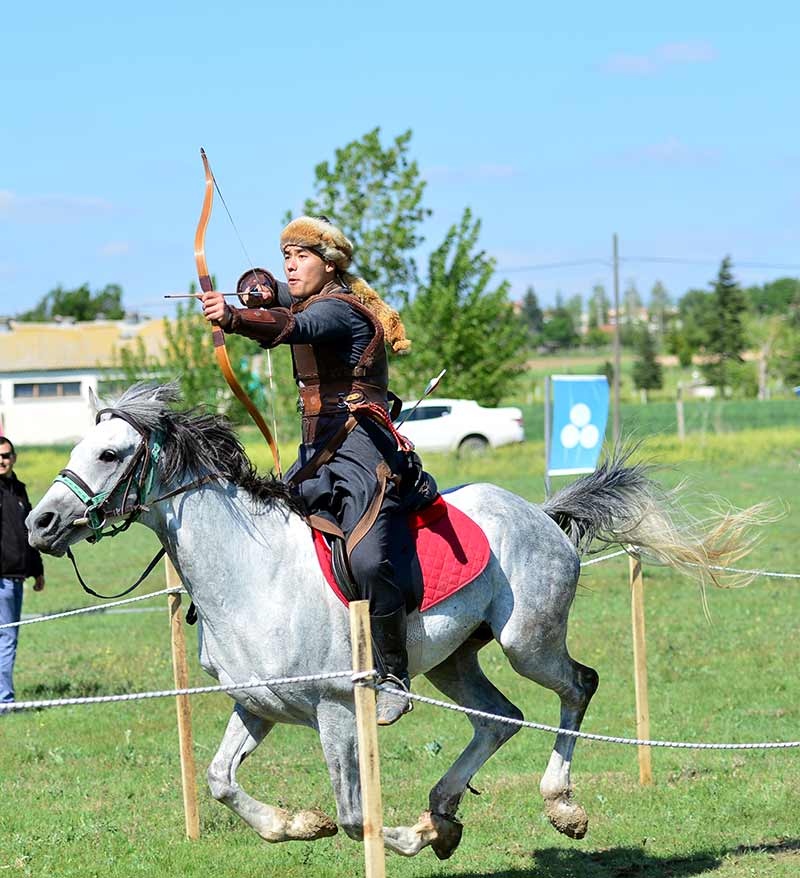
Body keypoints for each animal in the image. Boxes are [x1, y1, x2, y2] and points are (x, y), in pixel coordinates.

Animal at [26, 388, 764, 864]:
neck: (252, 573)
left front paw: (401, 837)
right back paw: (443, 811)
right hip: (454, 659)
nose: (41, 523)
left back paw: (559, 805)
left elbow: (358, 817)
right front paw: (297, 824)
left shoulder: (334, 710)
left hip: (528, 642)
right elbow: (220, 780)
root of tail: (542, 513)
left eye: (110, 453)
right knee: (501, 718)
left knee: (578, 686)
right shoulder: (257, 706)